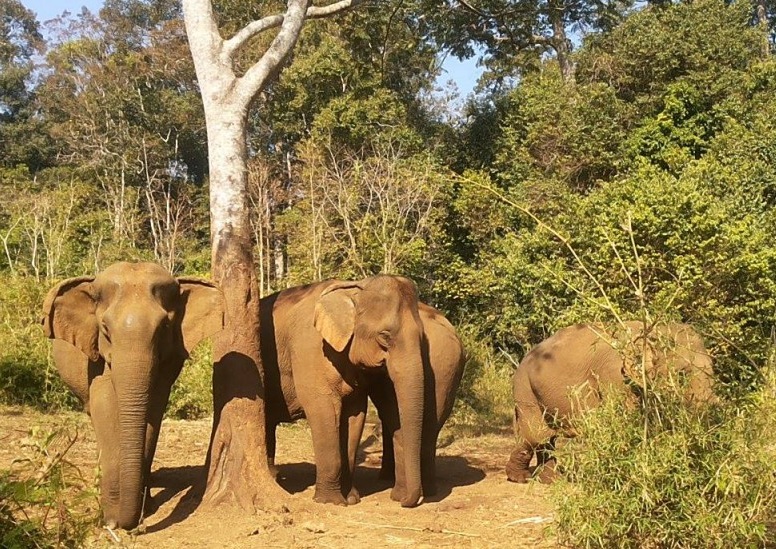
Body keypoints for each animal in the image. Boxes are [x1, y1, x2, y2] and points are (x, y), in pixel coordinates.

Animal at [42, 262, 225, 529]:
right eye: (105, 329)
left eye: (164, 327)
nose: (123, 523)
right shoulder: (95, 359)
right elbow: (105, 407)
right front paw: (110, 517)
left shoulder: (168, 362)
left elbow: (153, 411)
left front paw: (143, 510)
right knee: (91, 412)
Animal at [260, 275, 429, 507]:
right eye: (385, 336)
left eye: (422, 336)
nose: (403, 501)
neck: (353, 289)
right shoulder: (310, 349)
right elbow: (323, 410)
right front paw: (330, 501)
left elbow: (354, 415)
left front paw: (351, 498)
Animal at [505, 321, 714, 484]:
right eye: (682, 374)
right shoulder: (615, 375)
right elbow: (625, 421)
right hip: (525, 390)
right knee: (537, 435)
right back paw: (521, 478)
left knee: (547, 438)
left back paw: (552, 480)